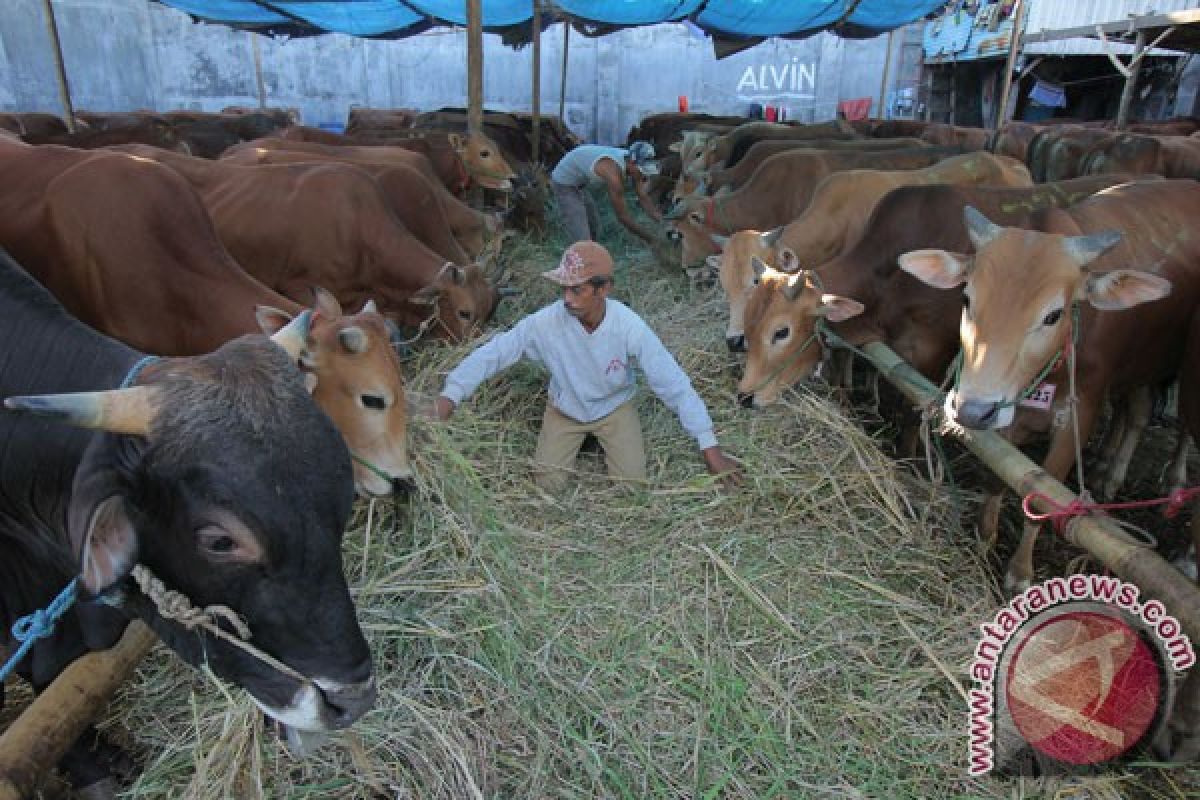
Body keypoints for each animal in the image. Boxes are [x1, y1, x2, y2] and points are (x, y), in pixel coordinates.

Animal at [897, 183, 1200, 594]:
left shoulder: (1078, 416)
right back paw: (1106, 470)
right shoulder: (1009, 415)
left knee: (1175, 424)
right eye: (966, 299)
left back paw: (1169, 482)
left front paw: (1020, 573)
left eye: (1053, 315)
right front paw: (984, 538)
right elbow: (999, 476)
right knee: (1135, 412)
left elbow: (1042, 500)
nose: (973, 410)